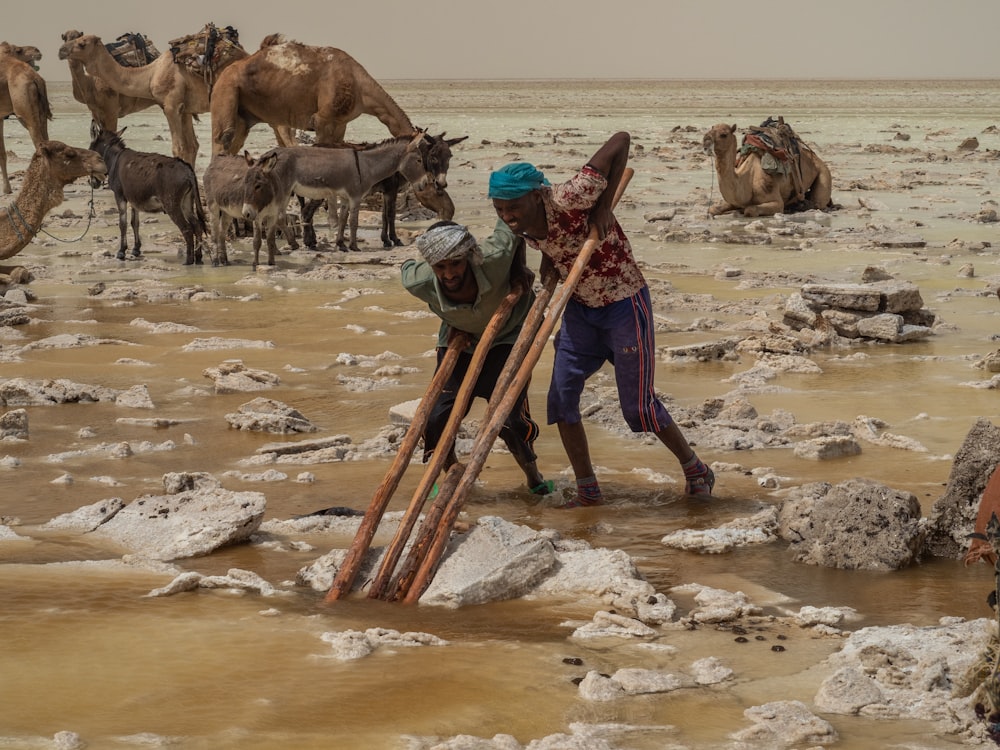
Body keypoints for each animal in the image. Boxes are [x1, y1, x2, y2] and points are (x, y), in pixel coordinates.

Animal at [0, 43, 52, 197]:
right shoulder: (0, 116)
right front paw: (7, 190)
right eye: (19, 50)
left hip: (24, 109)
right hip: (41, 112)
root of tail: (35, 78)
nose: (37, 51)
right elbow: (2, 153)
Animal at [700, 122, 832, 217]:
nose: (705, 141)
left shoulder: (777, 202)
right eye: (711, 129)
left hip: (824, 172)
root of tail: (816, 158)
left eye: (723, 134)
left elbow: (750, 210)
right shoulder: (733, 200)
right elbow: (713, 209)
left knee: (818, 202)